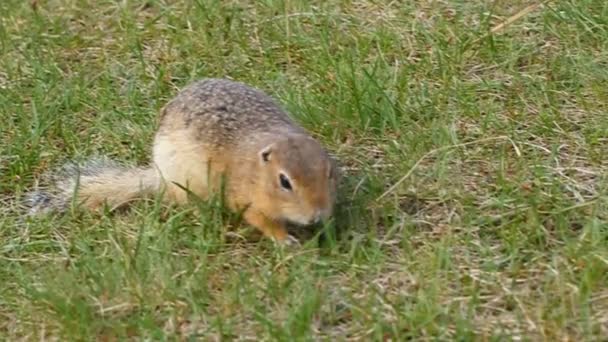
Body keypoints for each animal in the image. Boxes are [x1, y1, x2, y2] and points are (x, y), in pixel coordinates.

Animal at [27, 78, 338, 243]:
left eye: (329, 173)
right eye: (284, 181)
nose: (318, 214)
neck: (254, 169)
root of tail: (157, 176)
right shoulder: (243, 196)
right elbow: (260, 220)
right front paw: (285, 239)